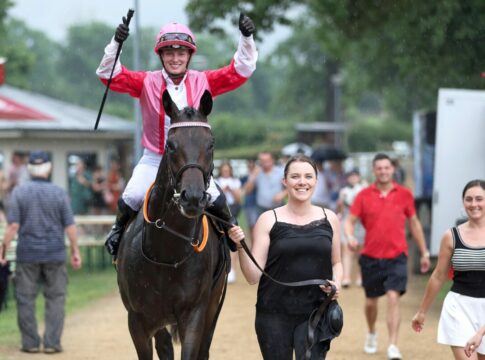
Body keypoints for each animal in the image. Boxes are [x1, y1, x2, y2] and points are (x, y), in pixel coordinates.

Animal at [117, 90, 231, 360]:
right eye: (170, 145)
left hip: (213, 307)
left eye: (211, 143)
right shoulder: (137, 320)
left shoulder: (195, 315)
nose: (193, 198)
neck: (167, 253)